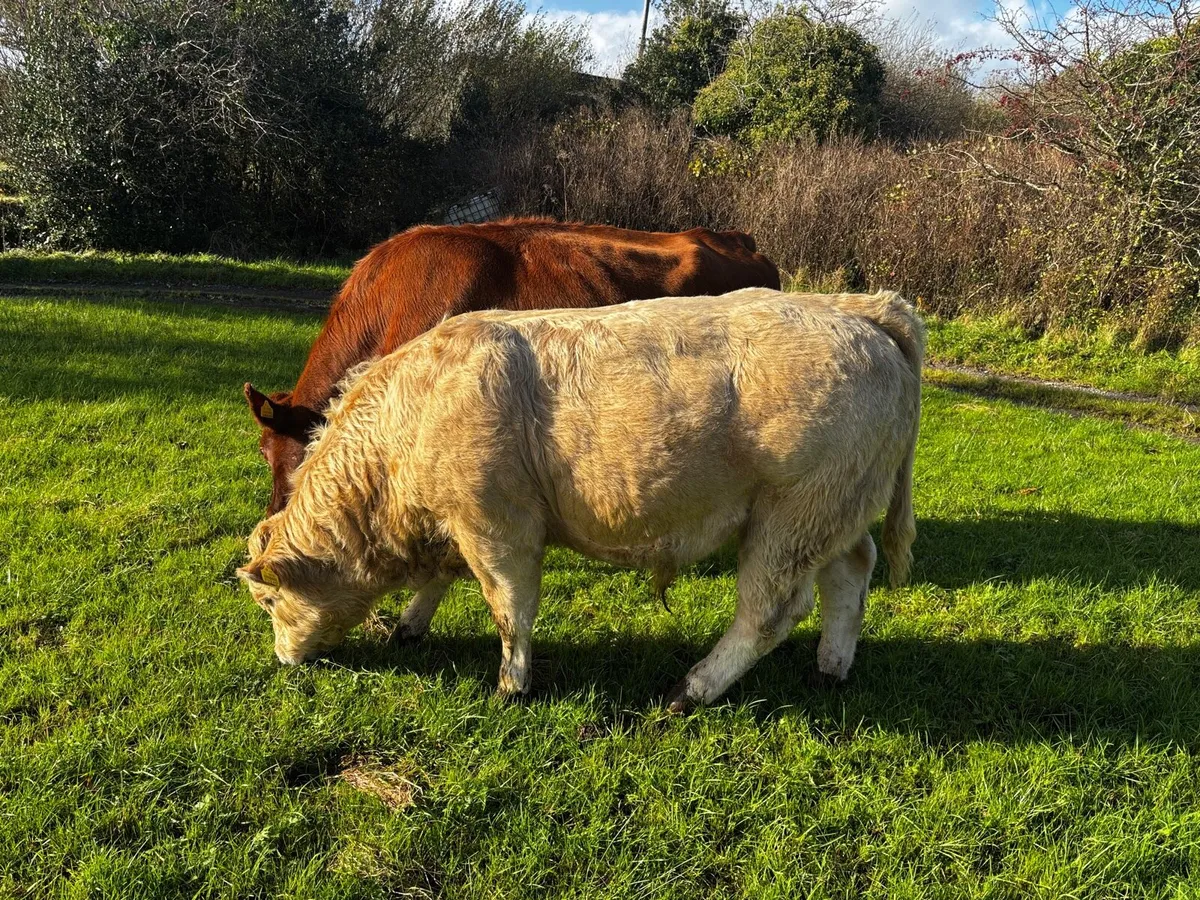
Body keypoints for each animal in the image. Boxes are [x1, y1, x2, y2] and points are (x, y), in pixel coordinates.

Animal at [238, 289, 924, 711]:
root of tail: (860, 310)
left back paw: (692, 688)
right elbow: (441, 577)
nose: (283, 660)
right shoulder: (458, 524)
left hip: (790, 517)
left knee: (769, 611)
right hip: (835, 510)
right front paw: (408, 625)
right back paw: (831, 666)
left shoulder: (499, 525)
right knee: (851, 571)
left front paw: (512, 683)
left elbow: (509, 607)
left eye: (268, 599)